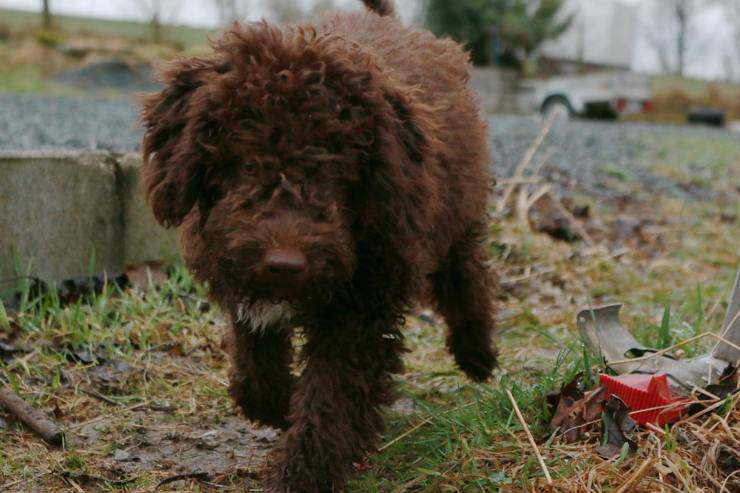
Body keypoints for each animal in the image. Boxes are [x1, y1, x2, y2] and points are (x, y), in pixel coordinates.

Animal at [139, 1, 498, 490]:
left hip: (456, 213)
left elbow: (333, 395)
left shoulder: (363, 304)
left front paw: (303, 474)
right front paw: (278, 403)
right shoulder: (243, 279)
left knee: (467, 274)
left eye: (333, 172)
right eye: (246, 165)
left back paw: (477, 354)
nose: (285, 263)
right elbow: (256, 367)